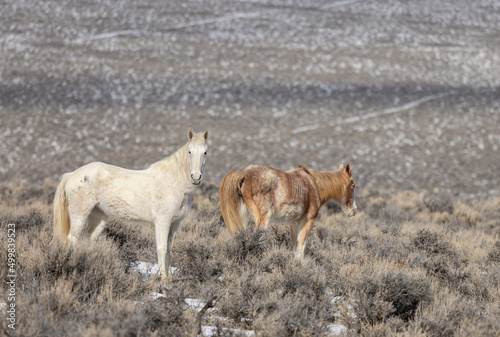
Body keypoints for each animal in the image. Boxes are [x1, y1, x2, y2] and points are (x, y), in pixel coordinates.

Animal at [53, 127, 210, 280]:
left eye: (205, 152)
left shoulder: (175, 223)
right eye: (189, 151)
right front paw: (164, 279)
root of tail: (72, 174)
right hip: (79, 215)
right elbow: (162, 248)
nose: (196, 178)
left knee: (90, 240)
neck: (172, 182)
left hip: (99, 217)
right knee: (72, 239)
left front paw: (170, 277)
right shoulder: (162, 222)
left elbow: (169, 249)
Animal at [221, 163, 358, 255]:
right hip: (263, 219)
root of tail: (243, 174)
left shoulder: (294, 225)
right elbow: (301, 247)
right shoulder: (308, 222)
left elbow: (295, 247)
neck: (313, 184)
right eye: (353, 185)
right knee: (257, 240)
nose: (353, 211)